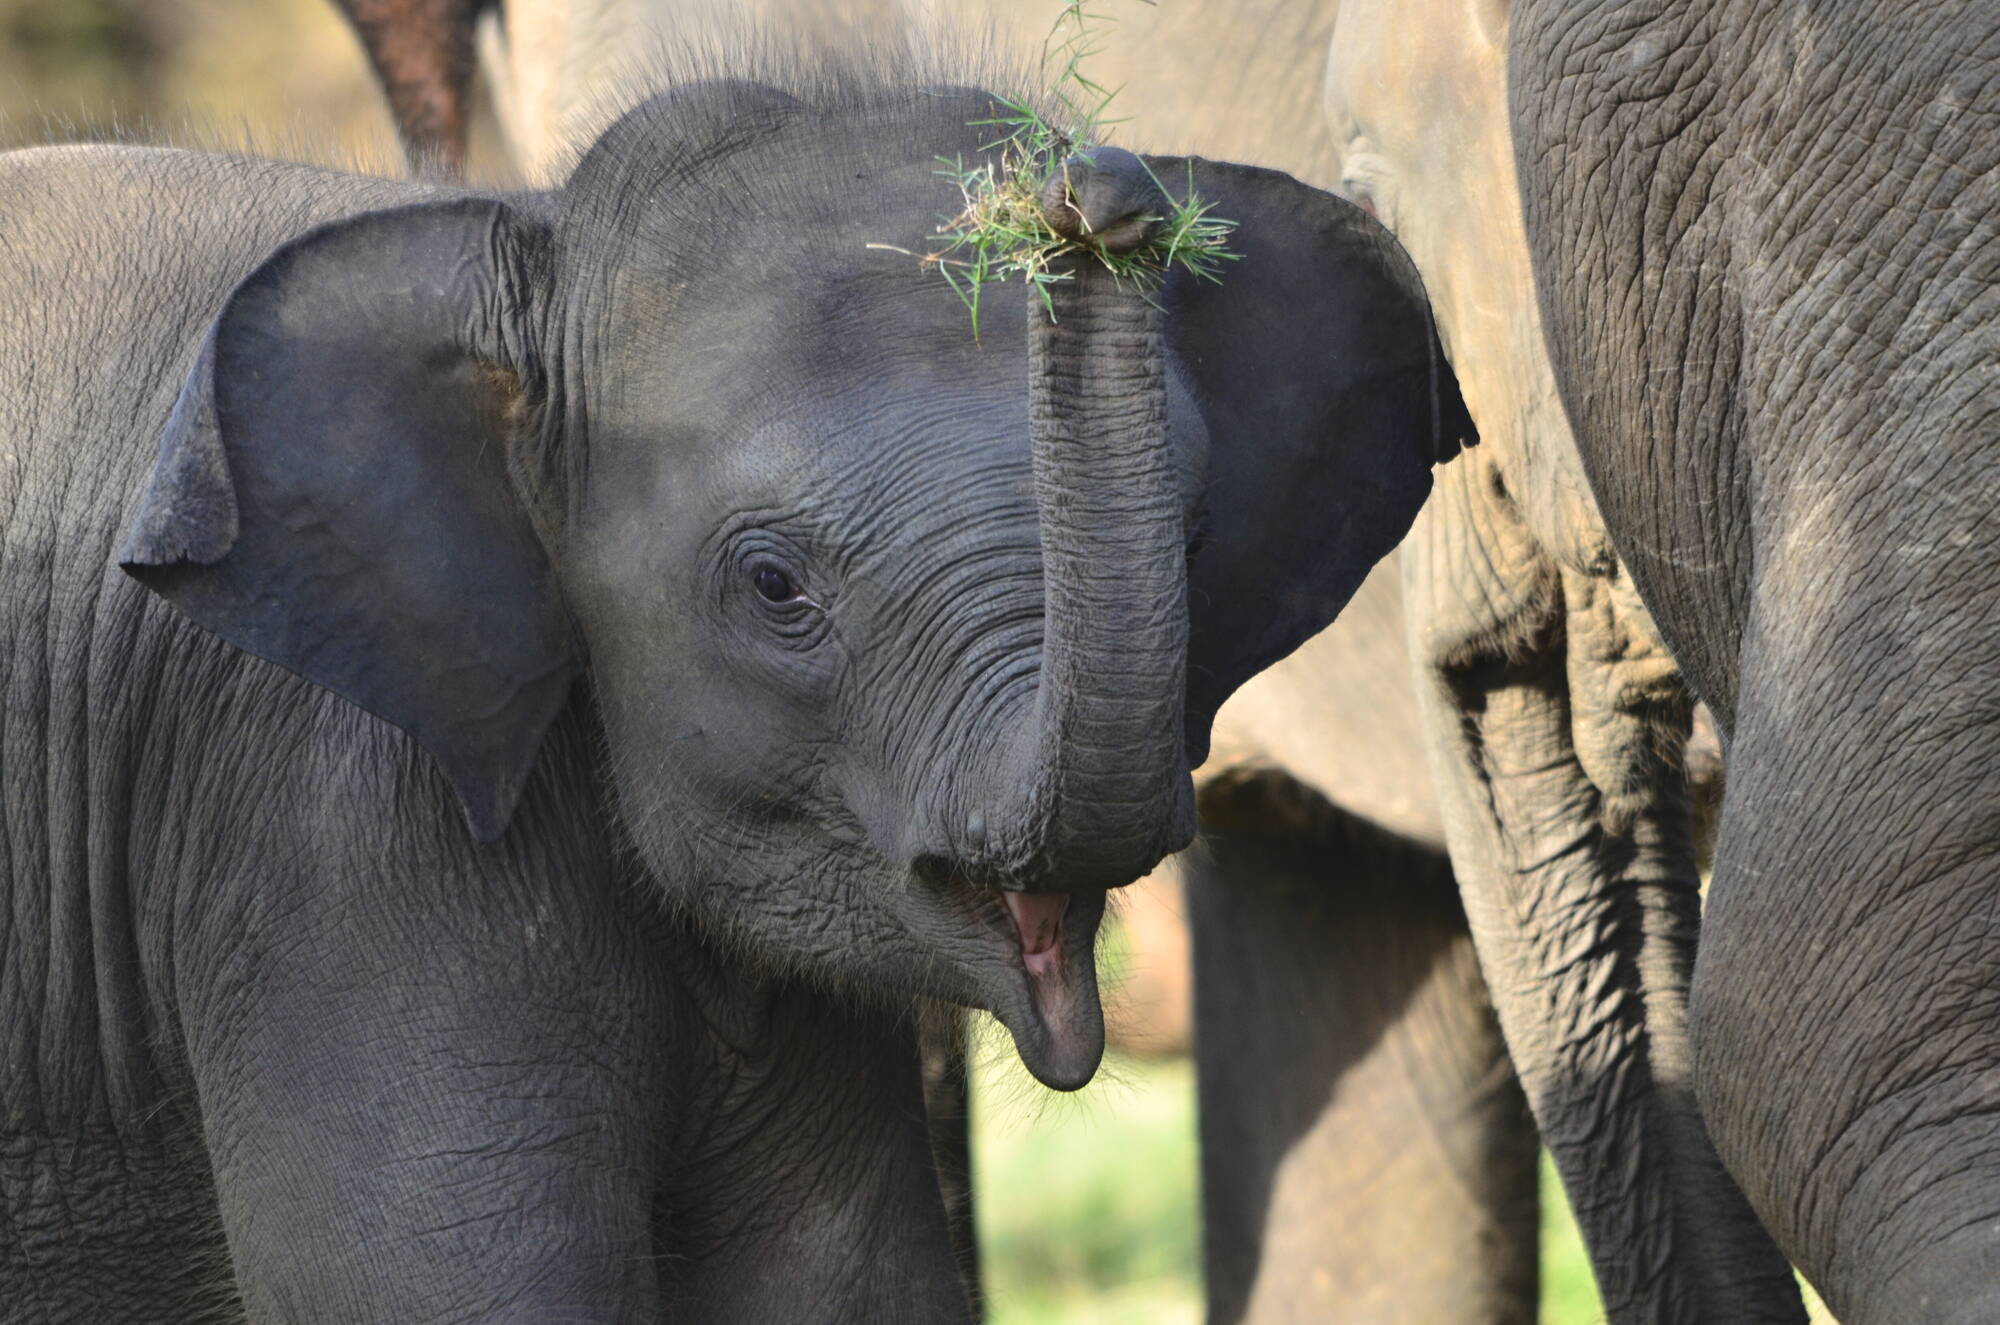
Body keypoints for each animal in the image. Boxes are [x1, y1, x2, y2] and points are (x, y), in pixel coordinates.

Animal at [0, 38, 1472, 1320]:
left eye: (1197, 536)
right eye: (774, 588)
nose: (1093, 198)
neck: (531, 241)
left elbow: (844, 1286)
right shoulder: (336, 827)